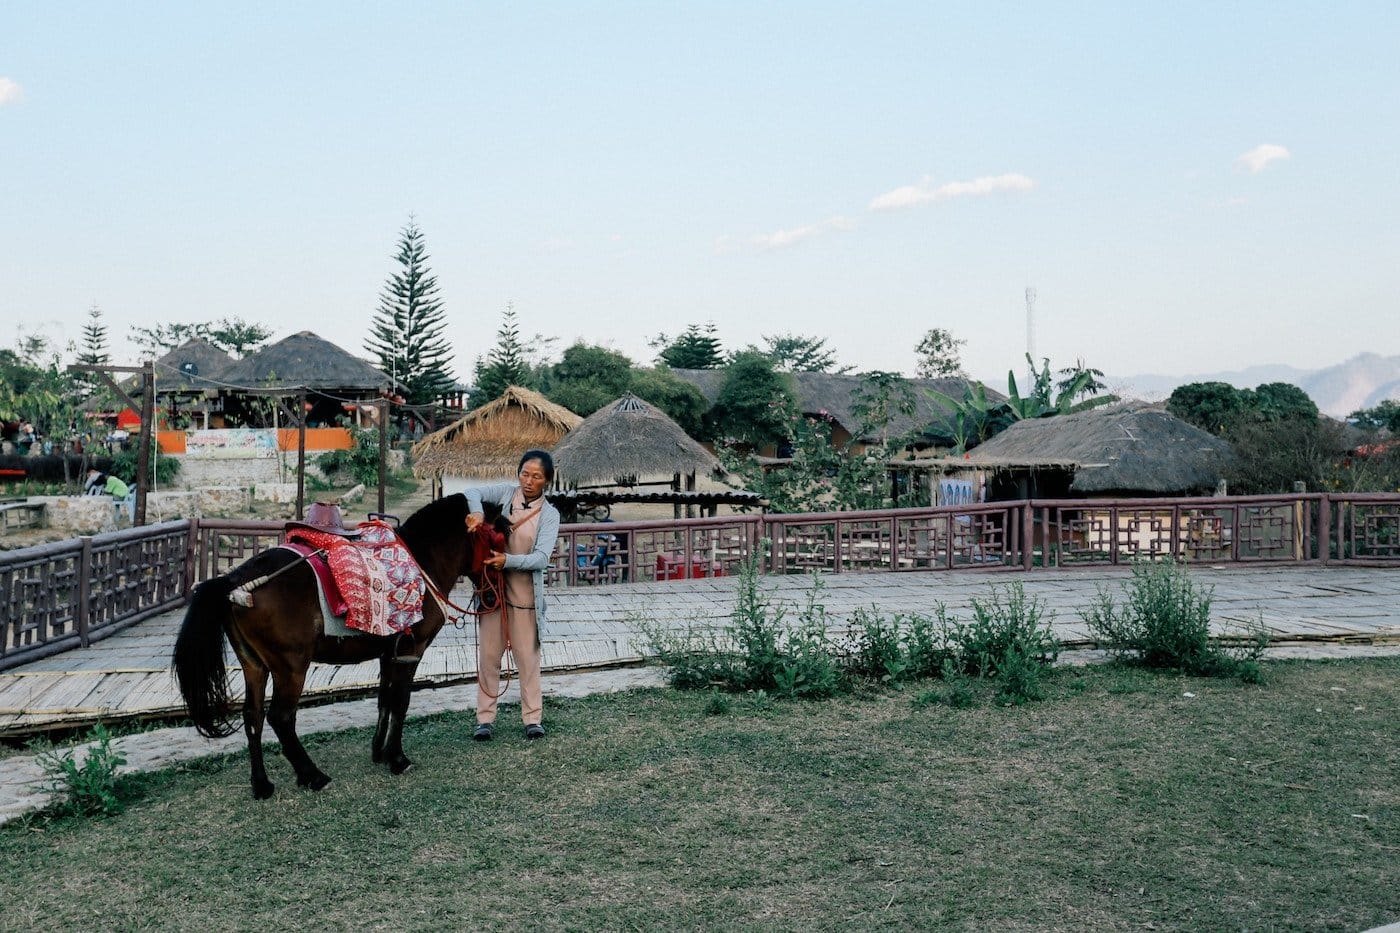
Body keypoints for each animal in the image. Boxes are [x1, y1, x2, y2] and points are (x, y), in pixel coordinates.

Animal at [174, 490, 495, 795]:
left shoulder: (388, 653)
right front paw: (397, 758)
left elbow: (384, 699)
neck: (422, 561)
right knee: (281, 717)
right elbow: (400, 701)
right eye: (499, 535)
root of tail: (234, 581)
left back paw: (262, 785)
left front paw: (379, 751)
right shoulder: (411, 651)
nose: (492, 595)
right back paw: (312, 776)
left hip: (253, 664)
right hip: (291, 666)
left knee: (253, 717)